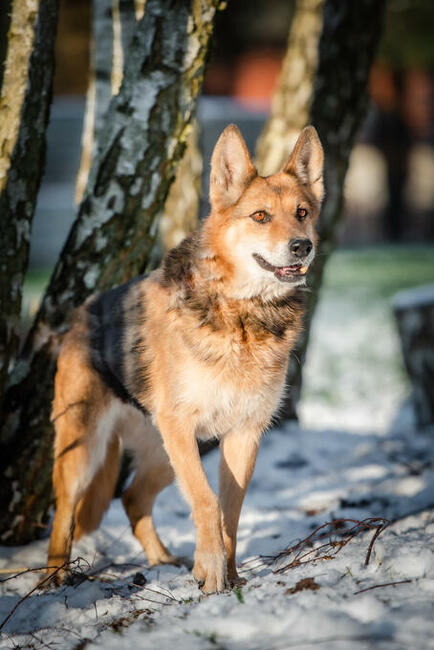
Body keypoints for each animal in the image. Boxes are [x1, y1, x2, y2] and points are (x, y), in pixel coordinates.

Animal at [47, 124, 324, 588]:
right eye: (260, 217)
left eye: (302, 212)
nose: (302, 246)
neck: (242, 313)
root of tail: (83, 314)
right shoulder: (181, 427)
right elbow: (207, 503)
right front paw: (211, 574)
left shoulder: (243, 434)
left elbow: (230, 512)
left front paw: (230, 578)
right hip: (86, 449)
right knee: (64, 513)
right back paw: (52, 580)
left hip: (165, 452)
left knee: (133, 499)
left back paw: (163, 561)